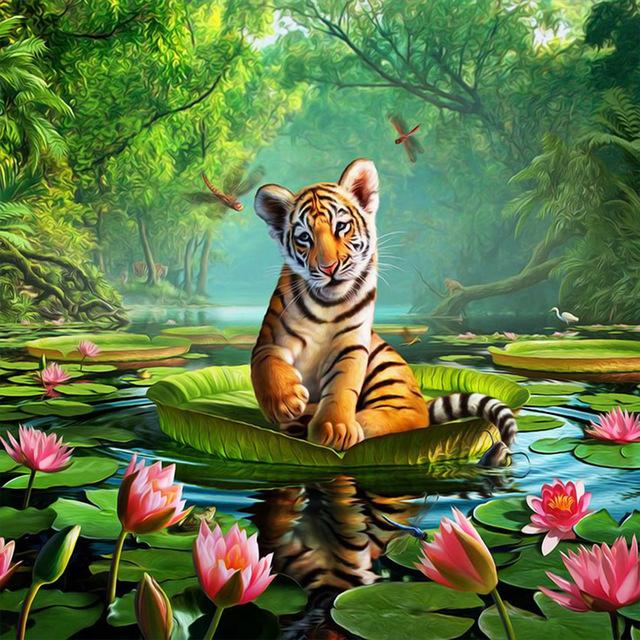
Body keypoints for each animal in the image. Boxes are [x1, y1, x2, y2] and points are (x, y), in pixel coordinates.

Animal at [252, 158, 516, 464]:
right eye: (304, 237)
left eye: (341, 227)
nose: (329, 268)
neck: (327, 304)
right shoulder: (270, 339)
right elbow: (266, 365)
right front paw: (285, 403)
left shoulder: (352, 346)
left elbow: (343, 385)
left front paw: (335, 429)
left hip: (386, 368)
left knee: (411, 417)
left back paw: (350, 423)